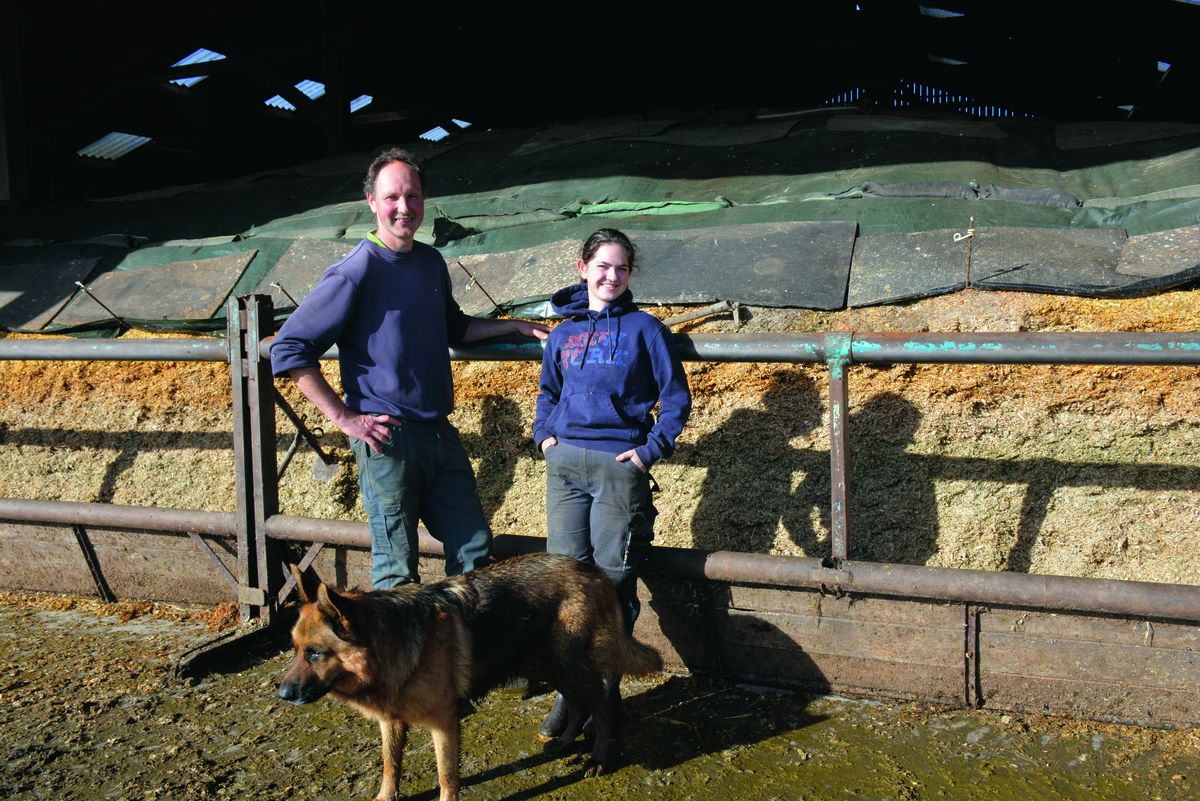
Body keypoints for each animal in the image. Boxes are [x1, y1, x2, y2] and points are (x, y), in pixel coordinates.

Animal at [277, 553, 662, 796]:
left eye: (316, 653)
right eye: (295, 648)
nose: (282, 694)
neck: (392, 643)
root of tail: (591, 570)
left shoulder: (444, 724)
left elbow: (447, 777)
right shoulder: (391, 721)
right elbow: (390, 766)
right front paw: (386, 796)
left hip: (570, 665)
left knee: (601, 707)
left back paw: (598, 759)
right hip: (550, 665)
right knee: (578, 705)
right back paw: (565, 743)